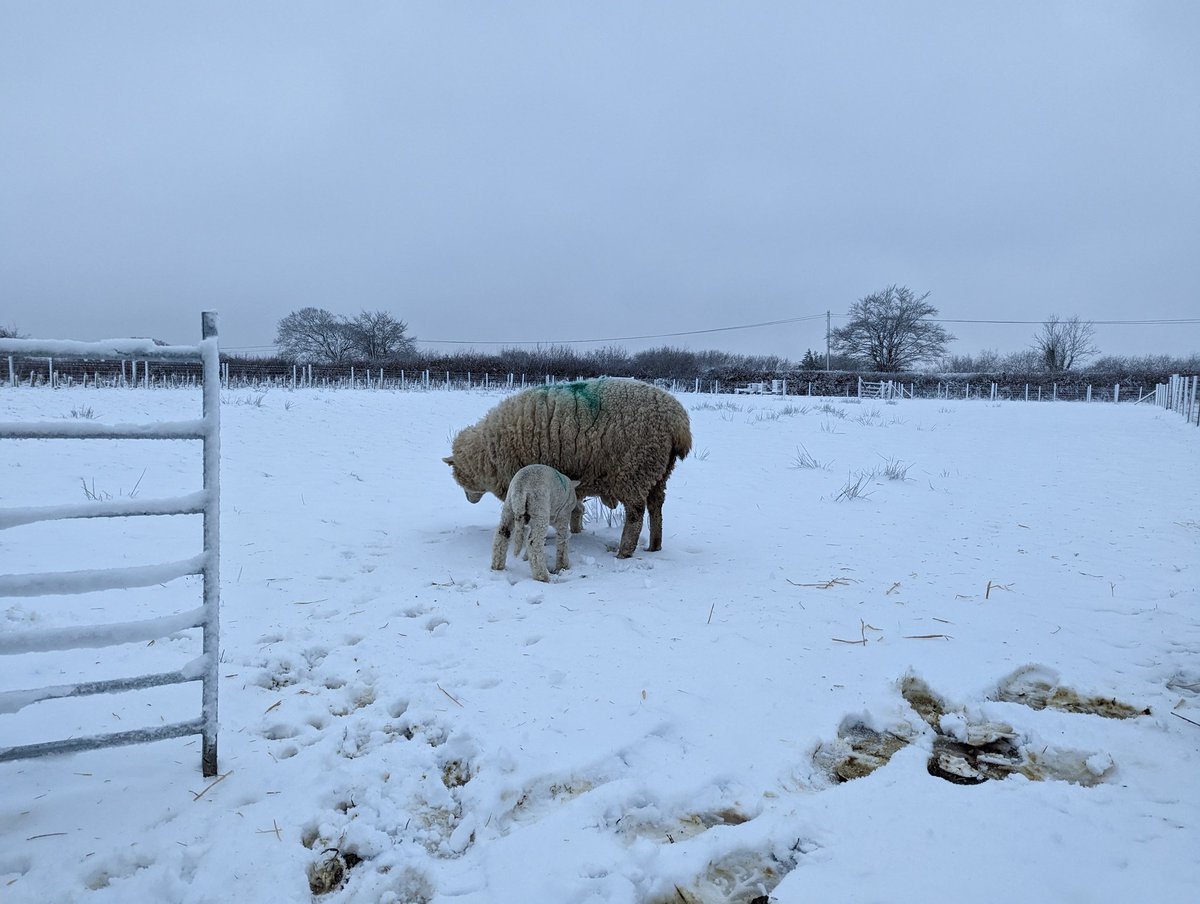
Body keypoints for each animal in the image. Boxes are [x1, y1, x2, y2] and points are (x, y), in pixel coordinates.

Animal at [443, 377, 692, 558]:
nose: (469, 499)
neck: (488, 452)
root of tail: (678, 421)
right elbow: (576, 508)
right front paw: (576, 530)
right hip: (658, 472)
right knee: (656, 508)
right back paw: (654, 546)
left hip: (634, 469)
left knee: (636, 514)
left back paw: (624, 551)